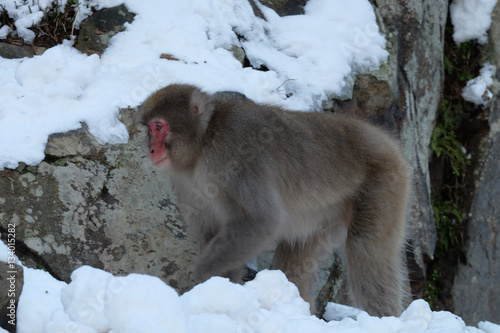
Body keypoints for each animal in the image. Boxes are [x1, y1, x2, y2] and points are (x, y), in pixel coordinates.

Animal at [138, 84, 410, 316]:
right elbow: (212, 231)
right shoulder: (187, 185)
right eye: (149, 130)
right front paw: (222, 290)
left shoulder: (232, 154)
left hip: (384, 180)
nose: (151, 150)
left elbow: (262, 220)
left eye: (159, 127)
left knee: (367, 249)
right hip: (322, 215)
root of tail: (384, 139)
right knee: (295, 262)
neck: (203, 141)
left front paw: (206, 280)